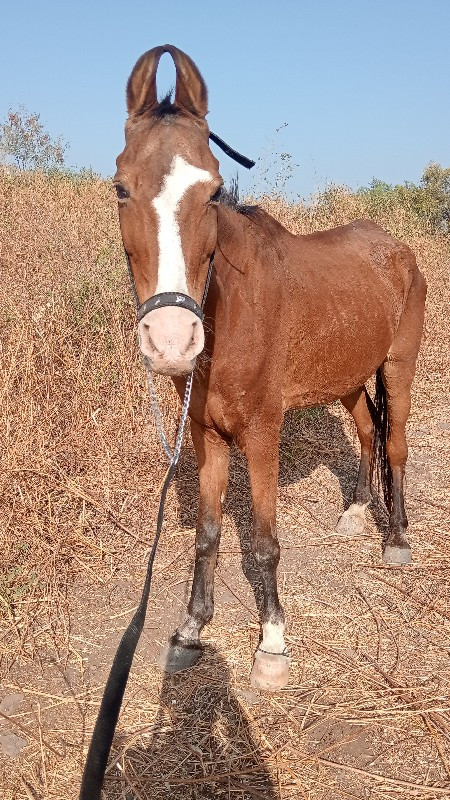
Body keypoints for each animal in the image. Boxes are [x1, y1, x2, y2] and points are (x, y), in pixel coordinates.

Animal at [114, 47, 428, 692]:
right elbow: (208, 535)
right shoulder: (207, 436)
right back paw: (356, 514)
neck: (231, 311)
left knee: (396, 445)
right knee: (367, 430)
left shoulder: (261, 434)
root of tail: (396, 249)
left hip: (397, 366)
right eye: (121, 188)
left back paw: (396, 539)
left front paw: (273, 647)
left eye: (212, 192)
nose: (172, 340)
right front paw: (190, 631)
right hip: (347, 377)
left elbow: (263, 542)